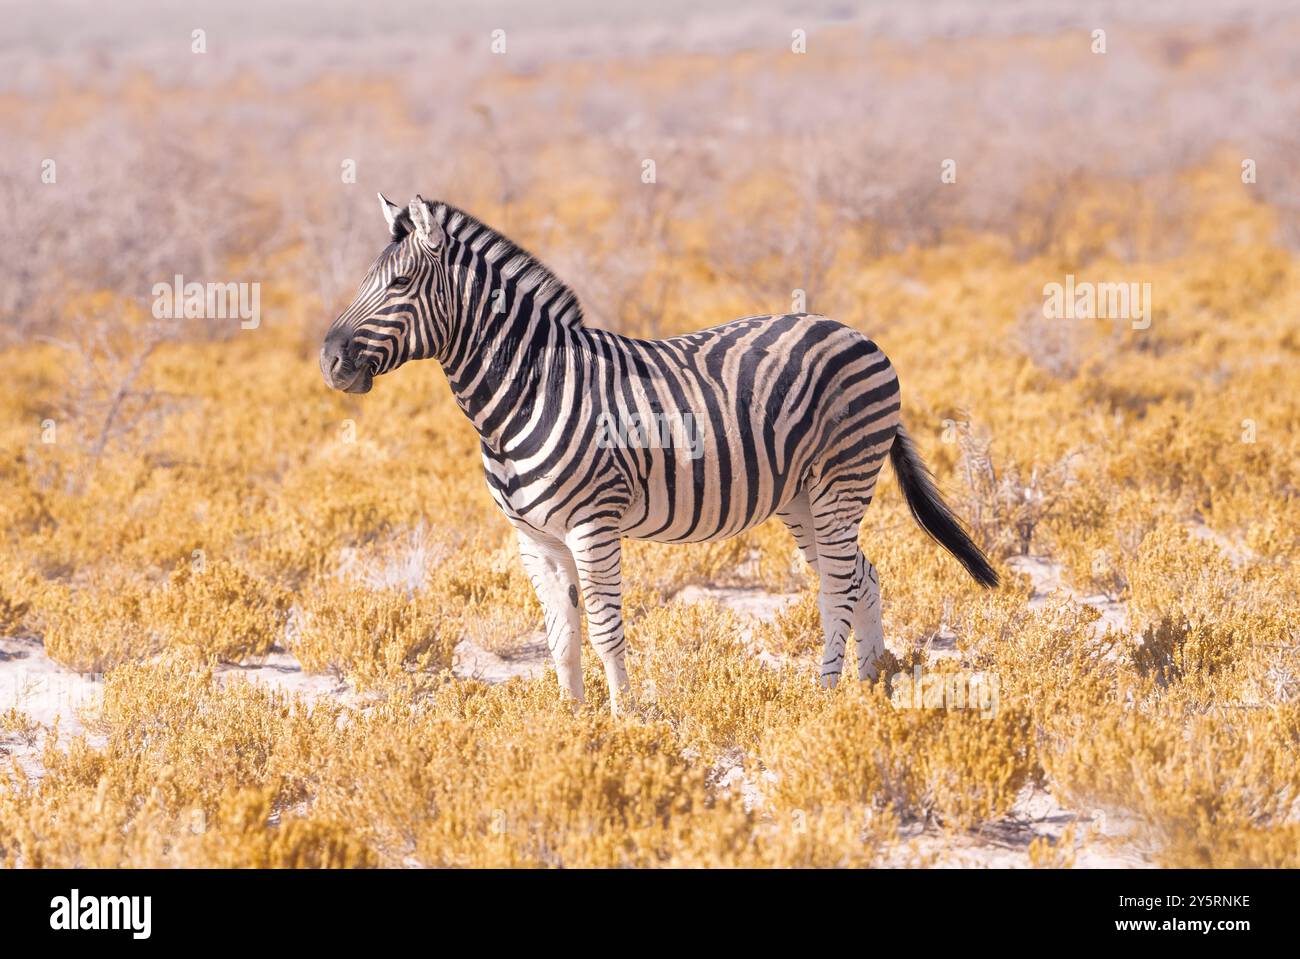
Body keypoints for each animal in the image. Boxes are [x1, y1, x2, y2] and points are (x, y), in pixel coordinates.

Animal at [320, 194, 998, 714]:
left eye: (400, 284)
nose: (329, 361)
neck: (530, 388)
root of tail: (855, 332)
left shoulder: (592, 525)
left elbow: (603, 629)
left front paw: (626, 723)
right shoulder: (534, 538)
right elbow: (560, 636)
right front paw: (568, 727)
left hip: (841, 480)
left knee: (837, 585)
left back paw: (826, 695)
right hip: (801, 497)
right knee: (862, 576)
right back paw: (869, 688)